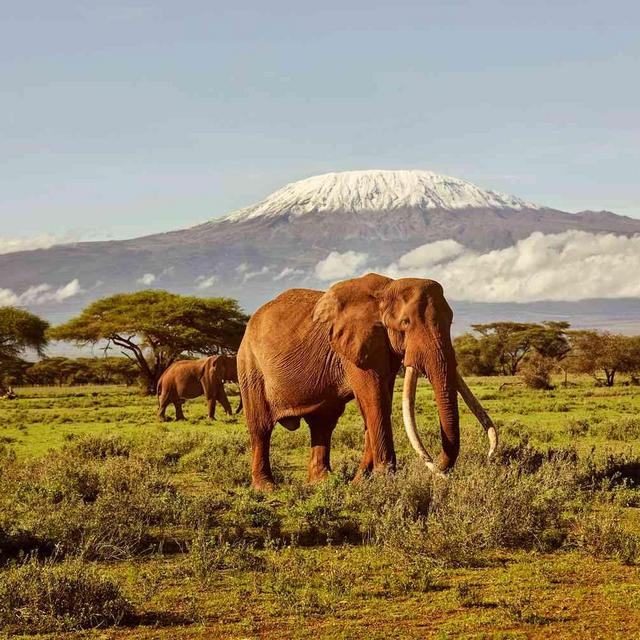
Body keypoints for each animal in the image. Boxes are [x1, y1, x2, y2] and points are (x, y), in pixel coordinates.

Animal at [238, 273, 497, 490]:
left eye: (451, 322)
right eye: (405, 323)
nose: (489, 457)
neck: (387, 289)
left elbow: (381, 398)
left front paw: (362, 481)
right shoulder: (354, 345)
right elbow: (374, 398)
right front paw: (384, 478)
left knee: (323, 424)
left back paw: (323, 482)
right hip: (249, 365)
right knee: (261, 427)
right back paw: (266, 488)